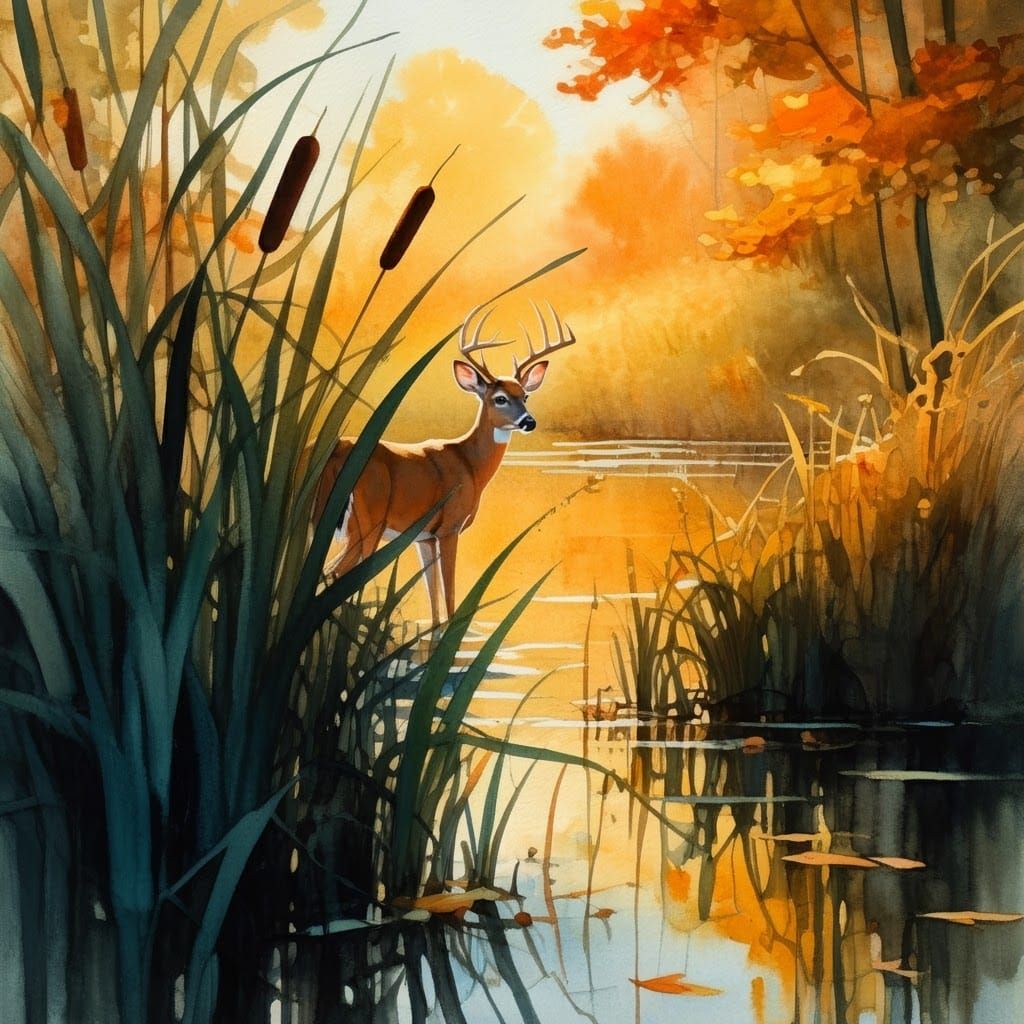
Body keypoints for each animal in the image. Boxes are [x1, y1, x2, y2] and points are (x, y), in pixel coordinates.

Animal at [311, 303, 577, 631]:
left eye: (525, 395)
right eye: (500, 398)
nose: (529, 421)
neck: (470, 464)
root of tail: (335, 453)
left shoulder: (424, 536)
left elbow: (434, 601)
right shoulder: (450, 527)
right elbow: (449, 598)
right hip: (368, 524)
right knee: (333, 577)